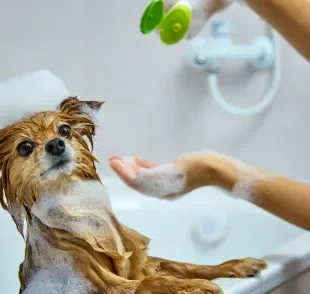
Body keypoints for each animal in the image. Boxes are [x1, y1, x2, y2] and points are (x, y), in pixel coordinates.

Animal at [0, 96, 266, 292]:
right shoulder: (97, 285)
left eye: (64, 130)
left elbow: (186, 265)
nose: (56, 144)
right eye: (25, 147)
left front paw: (238, 265)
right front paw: (192, 287)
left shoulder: (142, 263)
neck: (73, 203)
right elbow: (150, 282)